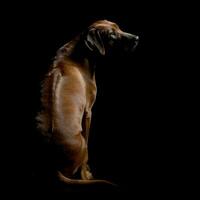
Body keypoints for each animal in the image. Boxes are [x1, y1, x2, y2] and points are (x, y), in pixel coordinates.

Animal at [36, 19, 139, 185]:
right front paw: (87, 171)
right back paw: (86, 174)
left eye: (118, 27)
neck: (79, 52)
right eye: (112, 35)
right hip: (83, 143)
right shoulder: (89, 112)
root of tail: (53, 165)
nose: (136, 38)